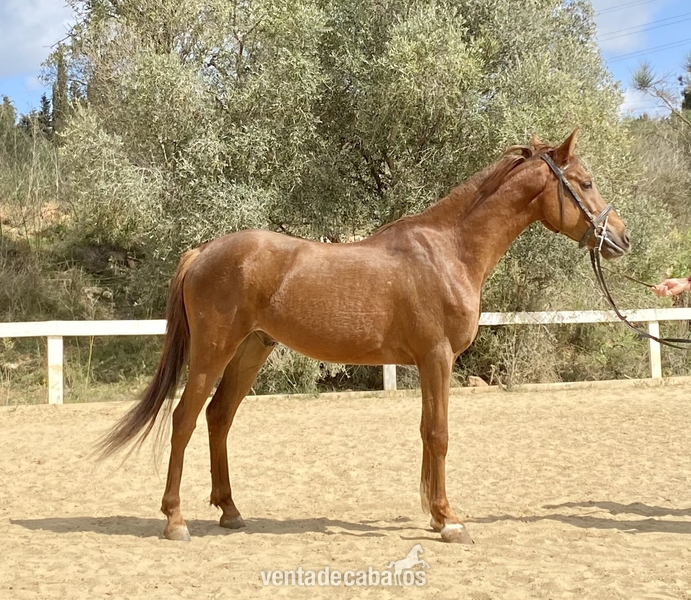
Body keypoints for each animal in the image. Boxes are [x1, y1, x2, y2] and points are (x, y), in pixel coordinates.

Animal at [99, 129, 630, 544]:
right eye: (585, 183)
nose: (621, 239)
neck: (449, 252)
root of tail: (202, 251)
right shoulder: (437, 358)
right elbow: (439, 435)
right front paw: (450, 521)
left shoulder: (427, 363)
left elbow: (425, 432)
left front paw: (434, 515)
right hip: (214, 350)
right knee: (185, 419)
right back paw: (175, 520)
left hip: (251, 350)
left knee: (219, 417)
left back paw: (230, 511)